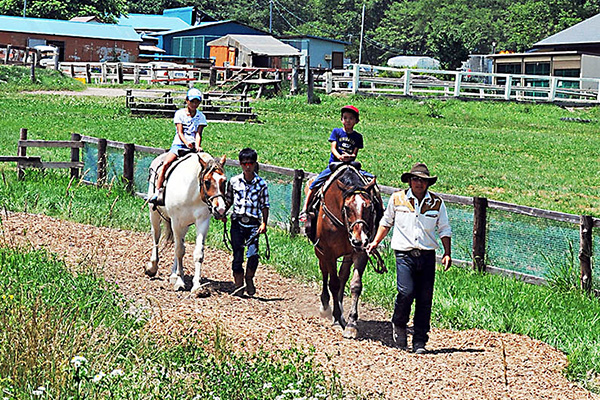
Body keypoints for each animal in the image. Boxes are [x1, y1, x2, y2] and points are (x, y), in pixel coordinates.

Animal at [146, 152, 229, 292]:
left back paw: (173, 275)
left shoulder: (202, 222)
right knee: (156, 236)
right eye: (207, 182)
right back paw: (152, 267)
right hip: (155, 214)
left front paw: (196, 286)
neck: (191, 191)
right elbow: (179, 251)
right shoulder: (176, 221)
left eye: (224, 181)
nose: (221, 209)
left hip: (183, 225)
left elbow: (198, 253)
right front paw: (180, 281)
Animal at [312, 165, 382, 338]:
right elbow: (333, 283)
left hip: (348, 254)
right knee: (325, 273)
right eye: (347, 207)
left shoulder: (361, 252)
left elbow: (355, 285)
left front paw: (351, 323)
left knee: (343, 275)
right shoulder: (328, 252)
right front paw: (337, 318)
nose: (359, 239)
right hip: (320, 252)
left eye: (370, 207)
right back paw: (325, 307)